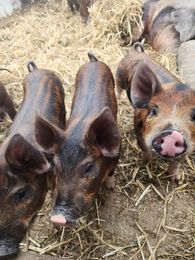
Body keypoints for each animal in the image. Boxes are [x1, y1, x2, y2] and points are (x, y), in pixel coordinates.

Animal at [35, 52, 119, 225]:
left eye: (89, 167)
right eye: (56, 166)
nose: (58, 218)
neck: (79, 131)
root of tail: (93, 61)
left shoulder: (117, 154)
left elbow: (111, 174)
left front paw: (111, 187)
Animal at [115, 45, 194, 183]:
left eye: (194, 116)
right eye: (154, 111)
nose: (173, 134)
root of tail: (135, 52)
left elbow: (177, 161)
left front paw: (175, 180)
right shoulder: (138, 130)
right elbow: (145, 149)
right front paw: (144, 163)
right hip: (119, 75)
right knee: (118, 87)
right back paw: (118, 98)